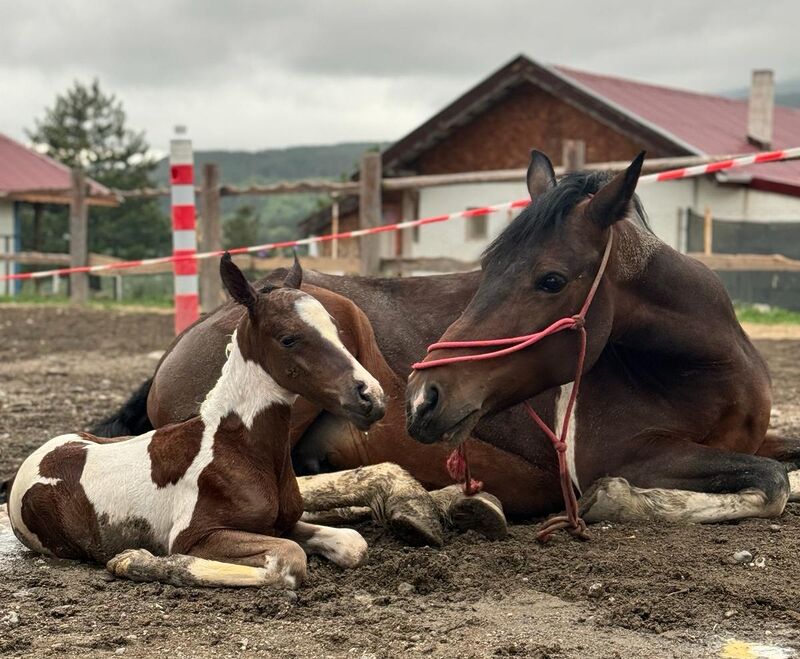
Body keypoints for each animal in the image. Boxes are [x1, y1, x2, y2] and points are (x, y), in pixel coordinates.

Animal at [7, 255, 386, 592]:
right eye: (288, 338)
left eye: (336, 329)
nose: (372, 397)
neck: (238, 449)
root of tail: (32, 461)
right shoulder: (200, 535)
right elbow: (289, 560)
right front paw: (138, 561)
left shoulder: (284, 523)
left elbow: (353, 543)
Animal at [410, 151, 796, 524]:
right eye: (487, 268)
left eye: (552, 280)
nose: (422, 397)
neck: (712, 372)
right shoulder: (628, 455)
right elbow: (774, 479)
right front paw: (618, 499)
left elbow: (784, 471)